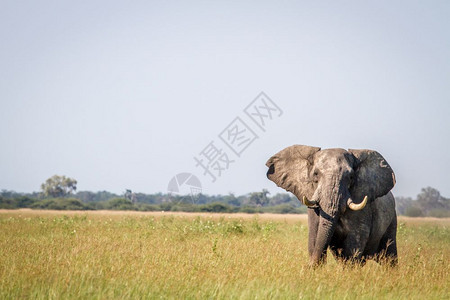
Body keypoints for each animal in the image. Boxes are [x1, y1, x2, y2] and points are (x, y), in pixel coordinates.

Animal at [266, 145, 396, 264]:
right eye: (316, 174)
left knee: (390, 257)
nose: (309, 266)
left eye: (351, 177)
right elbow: (315, 238)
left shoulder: (362, 211)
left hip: (392, 221)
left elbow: (354, 246)